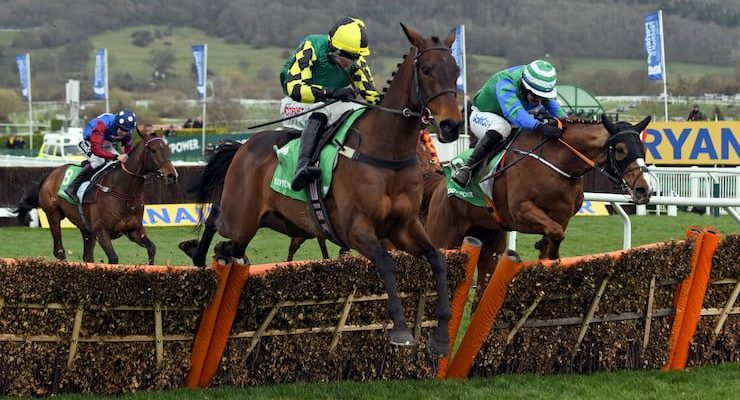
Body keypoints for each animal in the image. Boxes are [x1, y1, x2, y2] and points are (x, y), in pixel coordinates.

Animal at [14, 130, 179, 264]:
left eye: (168, 150)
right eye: (153, 150)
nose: (172, 176)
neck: (124, 192)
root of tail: (50, 175)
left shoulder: (134, 230)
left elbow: (152, 249)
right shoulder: (101, 231)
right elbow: (113, 258)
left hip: (86, 229)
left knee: (87, 257)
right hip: (53, 215)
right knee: (59, 251)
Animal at [185, 25, 462, 354]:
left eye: (456, 70)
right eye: (426, 69)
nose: (451, 126)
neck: (386, 150)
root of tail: (243, 146)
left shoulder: (404, 226)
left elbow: (438, 260)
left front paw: (441, 336)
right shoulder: (355, 229)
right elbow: (386, 263)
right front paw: (401, 330)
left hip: (270, 223)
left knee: (229, 247)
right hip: (240, 218)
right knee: (216, 219)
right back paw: (196, 253)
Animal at [422, 114, 652, 292]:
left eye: (643, 148)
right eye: (620, 149)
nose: (644, 188)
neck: (557, 164)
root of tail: (441, 183)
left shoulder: (563, 216)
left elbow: (556, 234)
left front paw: (545, 250)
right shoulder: (519, 212)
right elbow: (555, 232)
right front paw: (546, 251)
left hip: (490, 238)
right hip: (445, 235)